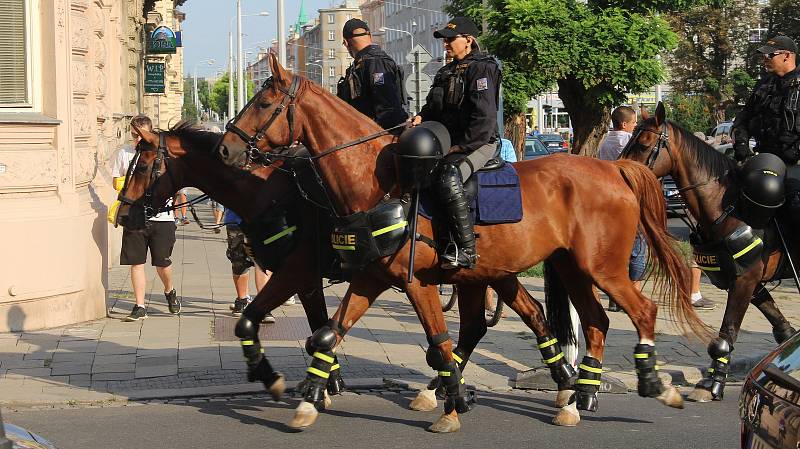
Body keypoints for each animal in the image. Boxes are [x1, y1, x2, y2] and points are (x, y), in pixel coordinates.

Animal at [216, 55, 704, 430]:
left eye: (264, 102)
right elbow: (326, 335)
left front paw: (452, 405)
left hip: (601, 269)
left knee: (642, 311)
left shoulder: (416, 283)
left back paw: (652, 385)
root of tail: (612, 168)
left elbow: (438, 343)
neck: (379, 182)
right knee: (594, 321)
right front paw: (307, 400)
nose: (225, 150)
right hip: (570, 268)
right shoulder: (371, 279)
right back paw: (578, 397)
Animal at [620, 102, 796, 402]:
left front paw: (713, 384)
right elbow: (782, 330)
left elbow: (726, 335)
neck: (729, 208)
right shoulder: (751, 283)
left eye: (643, 145)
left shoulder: (745, 281)